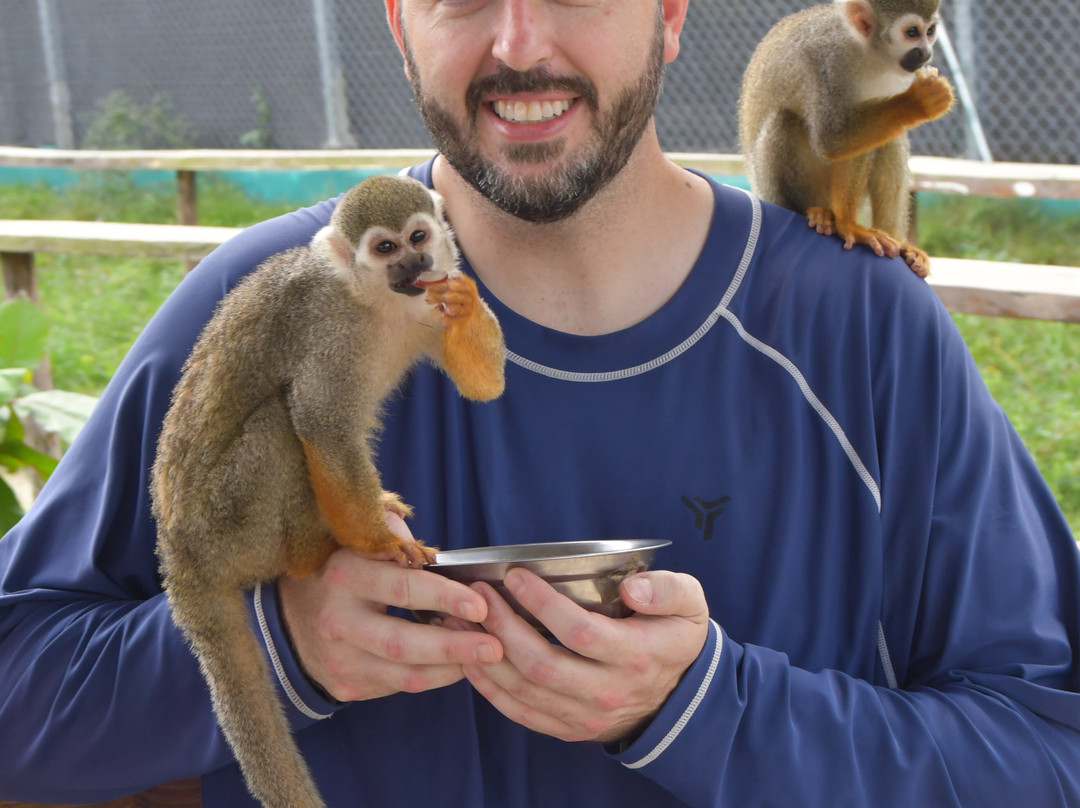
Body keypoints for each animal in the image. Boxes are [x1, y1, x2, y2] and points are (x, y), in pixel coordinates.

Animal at [150, 174, 505, 808]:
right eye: (386, 249)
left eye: (418, 238)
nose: (417, 263)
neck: (376, 301)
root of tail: (178, 557)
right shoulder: (328, 334)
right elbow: (321, 425)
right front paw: (380, 546)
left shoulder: (426, 303)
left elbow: (483, 385)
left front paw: (465, 306)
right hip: (225, 525)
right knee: (279, 427)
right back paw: (312, 552)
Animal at [738, 0, 955, 277]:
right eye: (912, 32)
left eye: (930, 31)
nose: (926, 53)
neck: (868, 53)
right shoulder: (828, 65)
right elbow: (831, 138)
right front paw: (920, 101)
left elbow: (859, 145)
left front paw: (848, 223)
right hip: (771, 191)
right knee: (785, 121)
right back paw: (816, 212)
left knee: (890, 136)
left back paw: (900, 244)